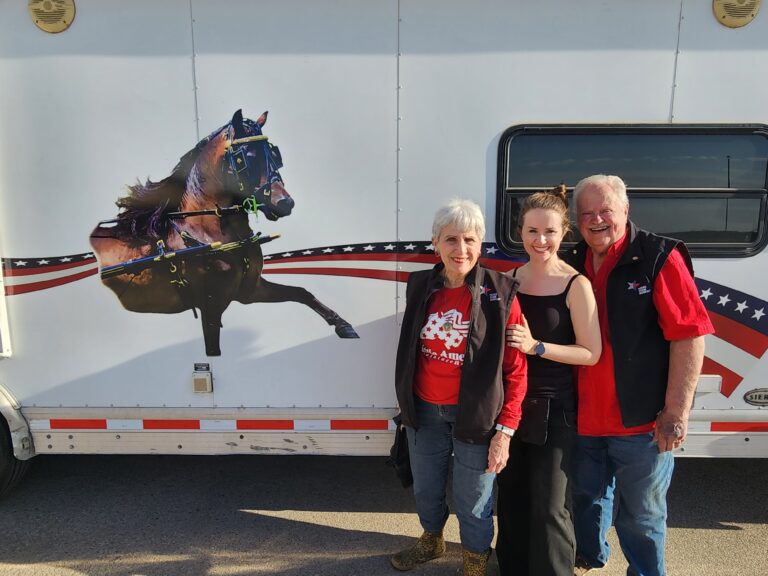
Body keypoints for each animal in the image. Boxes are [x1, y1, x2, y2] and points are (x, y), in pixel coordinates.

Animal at [91, 109, 362, 356]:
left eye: (275, 155)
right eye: (247, 157)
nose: (285, 203)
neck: (206, 234)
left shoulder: (250, 290)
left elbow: (301, 293)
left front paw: (343, 325)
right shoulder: (211, 307)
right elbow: (213, 349)